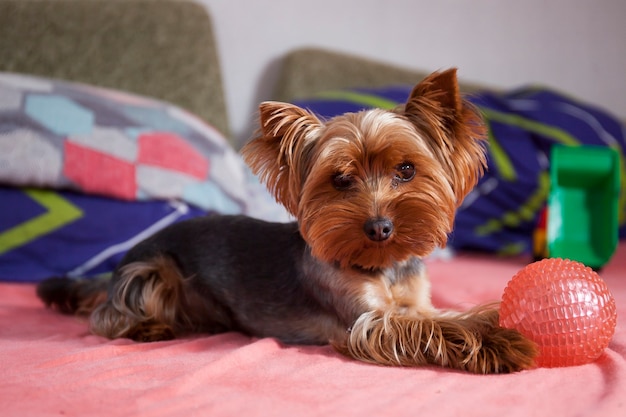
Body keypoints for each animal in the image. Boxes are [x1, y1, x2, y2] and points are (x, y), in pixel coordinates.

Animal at [37, 69, 536, 374]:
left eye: (407, 170)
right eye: (340, 180)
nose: (379, 228)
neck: (384, 265)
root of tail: (119, 264)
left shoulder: (416, 303)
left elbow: (452, 315)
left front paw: (498, 317)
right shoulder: (366, 322)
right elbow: (434, 329)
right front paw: (501, 343)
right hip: (151, 270)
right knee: (105, 316)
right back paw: (149, 327)